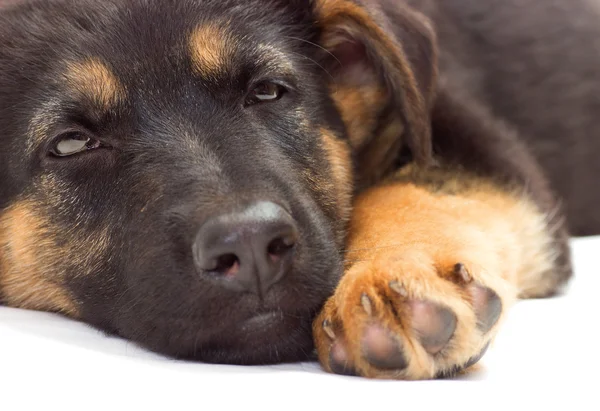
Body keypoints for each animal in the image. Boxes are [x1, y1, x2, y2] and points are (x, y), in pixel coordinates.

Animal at [0, 0, 596, 380]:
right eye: (71, 144)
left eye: (268, 92)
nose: (250, 246)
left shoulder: (468, 134)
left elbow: (416, 186)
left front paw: (391, 274)